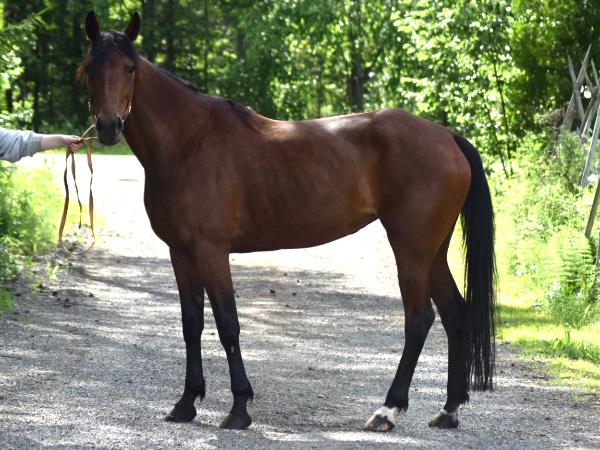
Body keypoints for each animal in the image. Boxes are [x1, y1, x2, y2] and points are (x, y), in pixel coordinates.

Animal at [79, 11, 496, 431]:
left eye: (130, 68)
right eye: (89, 69)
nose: (109, 127)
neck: (188, 142)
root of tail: (447, 136)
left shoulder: (211, 251)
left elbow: (228, 324)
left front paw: (239, 408)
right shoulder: (180, 253)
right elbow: (191, 323)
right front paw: (186, 403)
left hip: (410, 249)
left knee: (419, 318)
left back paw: (387, 409)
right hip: (433, 251)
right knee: (454, 313)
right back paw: (448, 409)